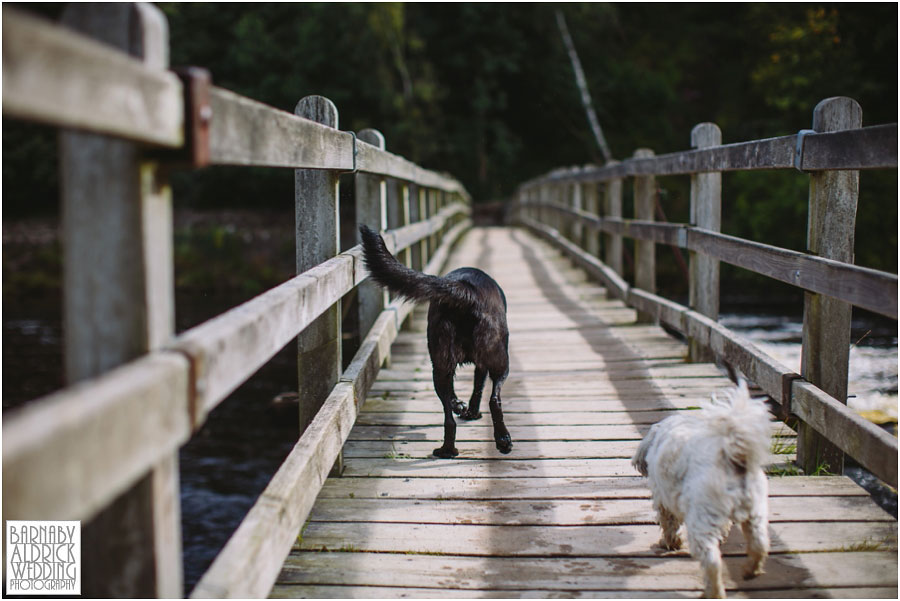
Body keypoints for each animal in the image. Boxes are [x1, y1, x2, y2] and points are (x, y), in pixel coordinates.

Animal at [358, 224, 512, 454]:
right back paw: (503, 440)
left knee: (448, 418)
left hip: (439, 365)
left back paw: (447, 450)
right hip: (500, 360)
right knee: (494, 399)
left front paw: (461, 406)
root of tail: (465, 289)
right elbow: (478, 388)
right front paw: (472, 411)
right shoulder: (482, 365)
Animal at [632, 380, 772, 596]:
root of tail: (731, 459)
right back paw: (750, 570)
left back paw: (713, 592)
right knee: (759, 544)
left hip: (702, 518)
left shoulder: (663, 500)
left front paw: (670, 543)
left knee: (712, 562)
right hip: (755, 512)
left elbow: (669, 524)